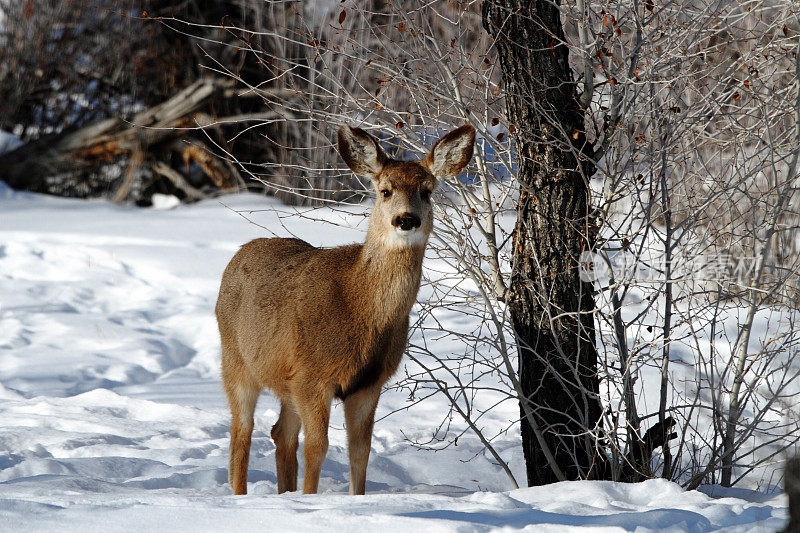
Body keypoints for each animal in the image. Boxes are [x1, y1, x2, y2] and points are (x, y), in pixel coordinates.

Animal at [214, 124, 476, 494]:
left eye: (427, 191)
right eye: (385, 191)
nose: (406, 219)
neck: (358, 305)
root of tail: (238, 255)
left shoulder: (368, 383)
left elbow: (360, 450)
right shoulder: (313, 376)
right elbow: (318, 447)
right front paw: (308, 498)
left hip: (286, 379)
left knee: (281, 434)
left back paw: (284, 492)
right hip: (236, 360)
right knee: (242, 431)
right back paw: (242, 494)